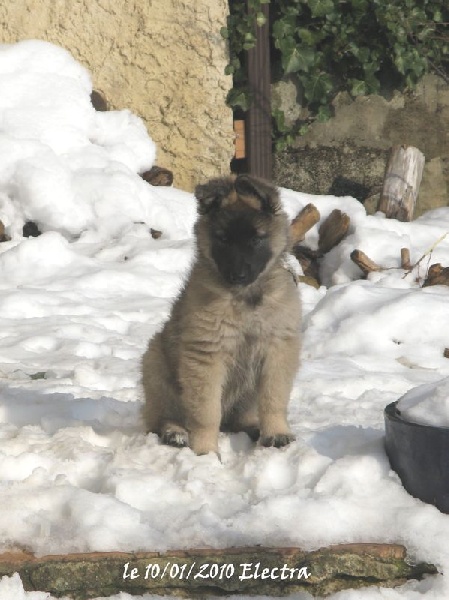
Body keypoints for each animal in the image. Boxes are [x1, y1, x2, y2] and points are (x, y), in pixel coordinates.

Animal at [140, 173, 300, 454]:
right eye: (223, 239)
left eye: (256, 239)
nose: (238, 275)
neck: (246, 297)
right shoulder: (206, 355)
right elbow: (206, 412)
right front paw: (205, 452)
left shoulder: (278, 349)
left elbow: (273, 398)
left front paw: (276, 433)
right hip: (156, 364)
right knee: (161, 418)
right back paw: (175, 433)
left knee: (239, 418)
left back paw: (253, 427)